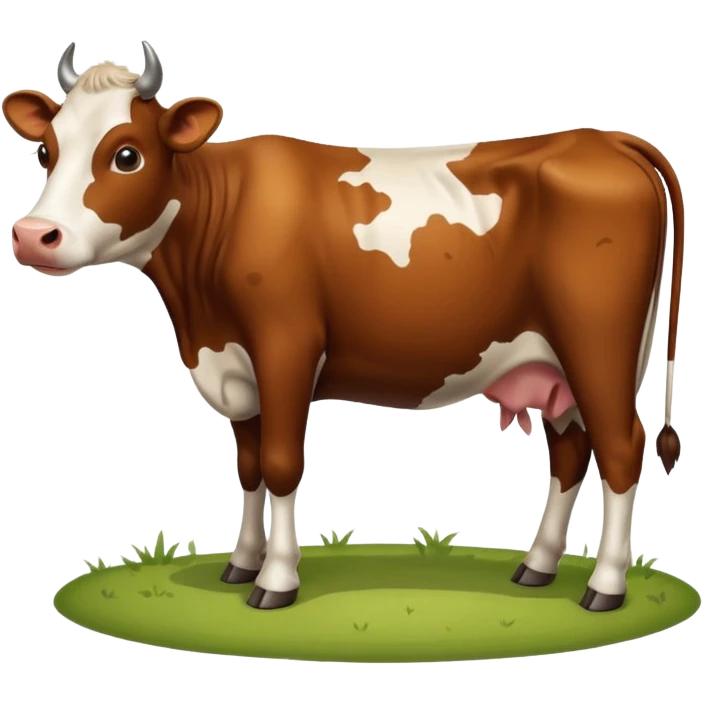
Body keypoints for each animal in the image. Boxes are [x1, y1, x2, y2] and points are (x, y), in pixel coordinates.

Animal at [3, 41, 685, 613]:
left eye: (126, 154)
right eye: (44, 151)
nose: (34, 236)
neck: (198, 310)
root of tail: (606, 141)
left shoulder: (285, 347)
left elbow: (281, 463)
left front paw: (275, 582)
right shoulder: (235, 367)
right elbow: (249, 465)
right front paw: (241, 565)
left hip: (599, 346)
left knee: (621, 448)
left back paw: (605, 587)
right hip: (551, 366)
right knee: (571, 452)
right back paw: (538, 567)